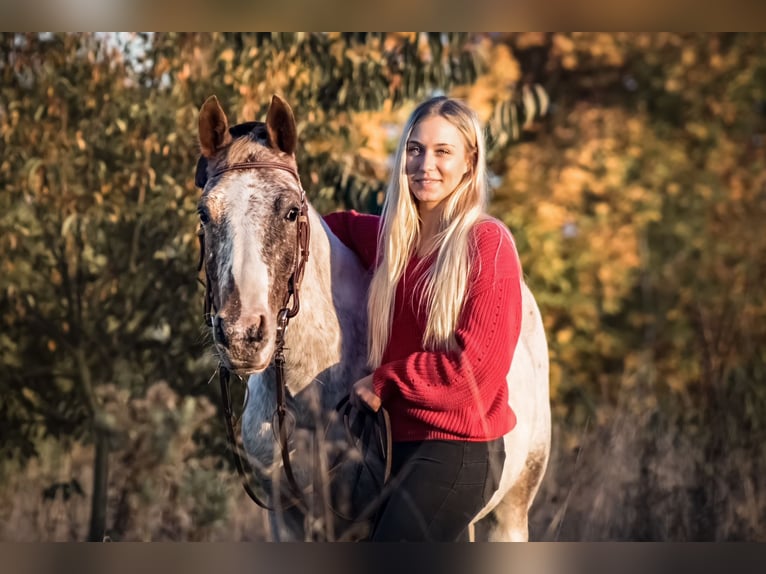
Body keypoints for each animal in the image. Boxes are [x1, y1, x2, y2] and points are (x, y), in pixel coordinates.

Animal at [192, 94, 552, 544]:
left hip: (510, 512)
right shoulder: (286, 521)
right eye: (205, 214)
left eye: (291, 211)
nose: (242, 335)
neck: (308, 400)